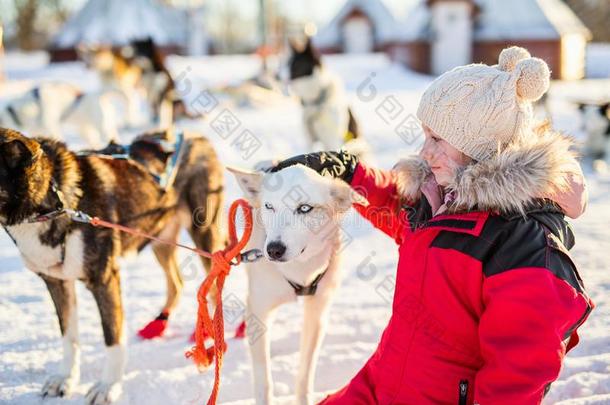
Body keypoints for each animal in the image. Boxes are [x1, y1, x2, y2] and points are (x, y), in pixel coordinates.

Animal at [0, 129, 223, 404]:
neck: (53, 202)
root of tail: (195, 135)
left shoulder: (105, 279)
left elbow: (112, 338)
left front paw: (108, 386)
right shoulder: (56, 281)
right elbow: (69, 336)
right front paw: (65, 378)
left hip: (204, 233)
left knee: (217, 280)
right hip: (159, 238)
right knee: (178, 283)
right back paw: (159, 324)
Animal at [227, 164, 360, 404]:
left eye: (305, 208)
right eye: (269, 206)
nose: (273, 249)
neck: (298, 270)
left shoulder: (317, 313)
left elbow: (305, 373)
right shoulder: (259, 311)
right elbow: (264, 380)